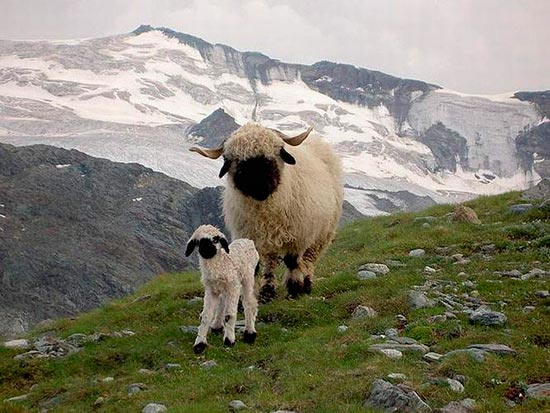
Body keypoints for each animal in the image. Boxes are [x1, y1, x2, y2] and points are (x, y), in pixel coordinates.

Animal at [185, 224, 260, 352]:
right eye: (197, 242)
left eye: (216, 240)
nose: (206, 249)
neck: (221, 264)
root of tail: (248, 240)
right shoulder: (210, 290)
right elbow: (205, 316)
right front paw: (199, 344)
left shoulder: (233, 287)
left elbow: (229, 315)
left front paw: (229, 340)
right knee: (222, 303)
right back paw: (217, 326)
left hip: (247, 278)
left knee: (249, 303)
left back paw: (250, 333)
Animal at [192, 124, 342, 300]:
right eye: (231, 160)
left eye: (277, 151)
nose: (260, 188)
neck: (265, 211)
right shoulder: (251, 235)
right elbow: (256, 266)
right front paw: (252, 297)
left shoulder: (298, 235)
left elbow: (292, 261)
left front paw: (294, 289)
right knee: (272, 260)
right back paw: (268, 290)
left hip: (321, 234)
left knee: (308, 260)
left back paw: (306, 284)